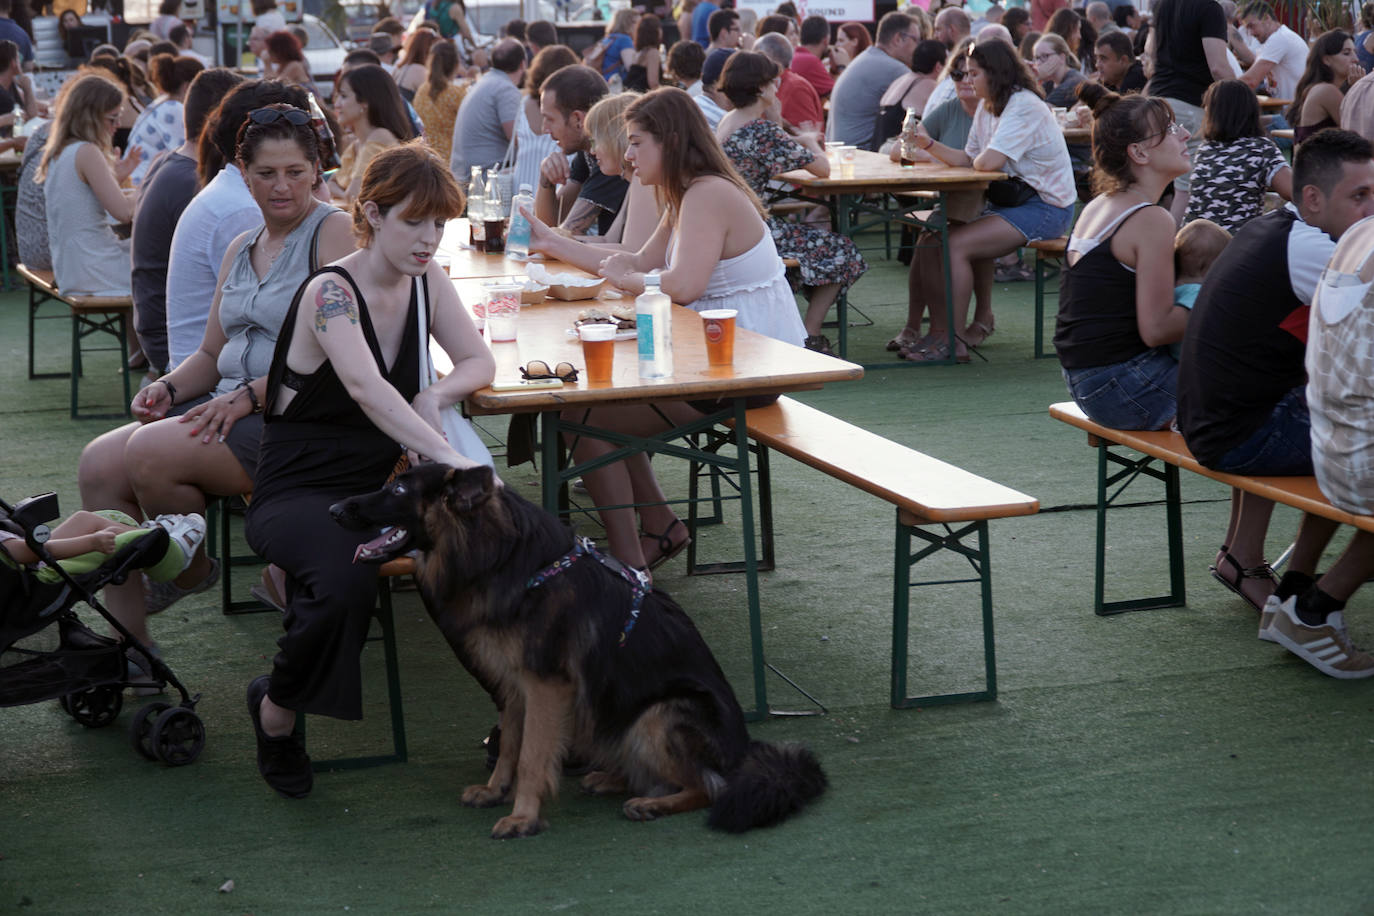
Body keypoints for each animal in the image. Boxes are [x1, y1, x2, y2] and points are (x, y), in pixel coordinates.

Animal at [332, 466, 824, 840]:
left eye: (399, 490)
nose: (334, 509)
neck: (506, 557)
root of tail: (743, 752)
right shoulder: (515, 684)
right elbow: (511, 745)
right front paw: (496, 791)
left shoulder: (545, 685)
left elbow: (531, 755)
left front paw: (523, 816)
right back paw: (613, 780)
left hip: (659, 713)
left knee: (710, 787)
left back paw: (651, 803)